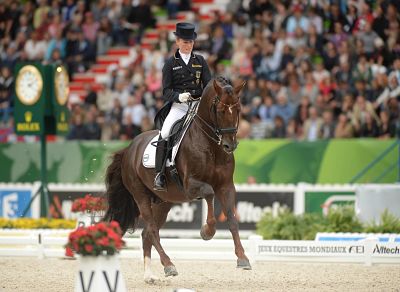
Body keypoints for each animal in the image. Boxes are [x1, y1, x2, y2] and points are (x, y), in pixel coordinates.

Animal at [104, 76, 252, 282]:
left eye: (238, 109)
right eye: (220, 111)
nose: (230, 146)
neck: (211, 146)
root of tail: (129, 149)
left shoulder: (226, 186)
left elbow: (232, 219)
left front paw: (242, 258)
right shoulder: (191, 186)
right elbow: (209, 194)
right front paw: (207, 232)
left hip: (163, 202)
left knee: (147, 233)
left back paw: (150, 275)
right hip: (141, 196)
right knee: (152, 230)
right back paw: (169, 265)